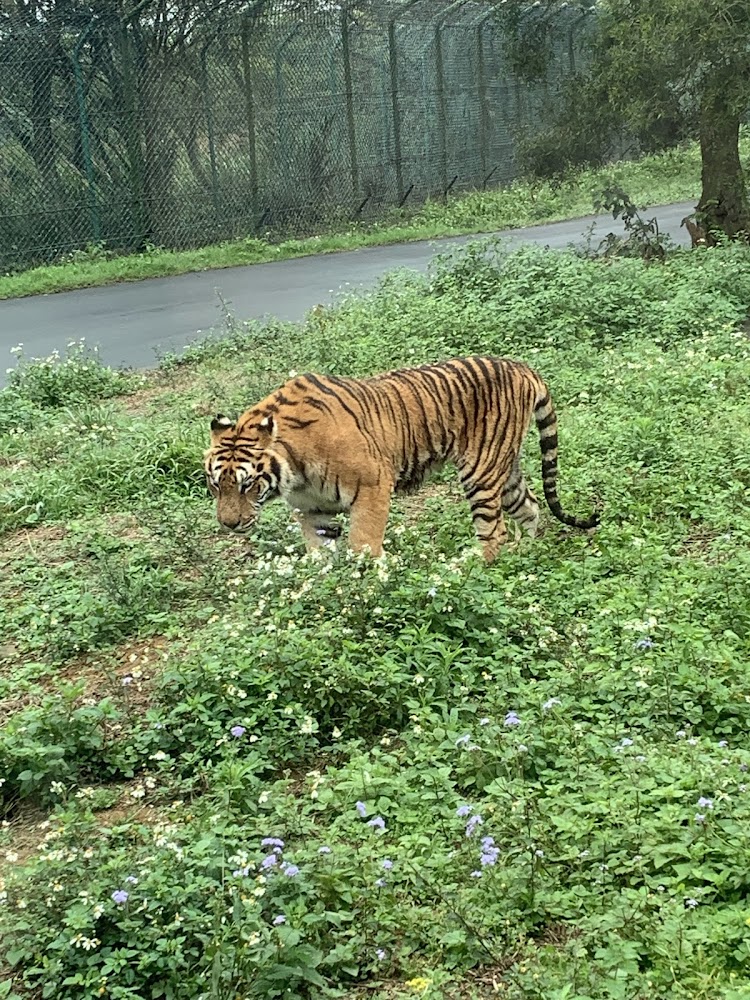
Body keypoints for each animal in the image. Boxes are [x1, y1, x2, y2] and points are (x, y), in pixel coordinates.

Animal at [204, 355, 599, 564]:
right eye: (215, 485)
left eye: (248, 485)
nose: (229, 524)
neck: (294, 471)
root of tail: (520, 366)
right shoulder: (312, 510)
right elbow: (320, 554)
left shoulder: (373, 486)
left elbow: (363, 544)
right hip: (504, 467)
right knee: (530, 506)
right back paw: (528, 553)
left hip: (481, 471)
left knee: (494, 530)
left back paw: (466, 569)